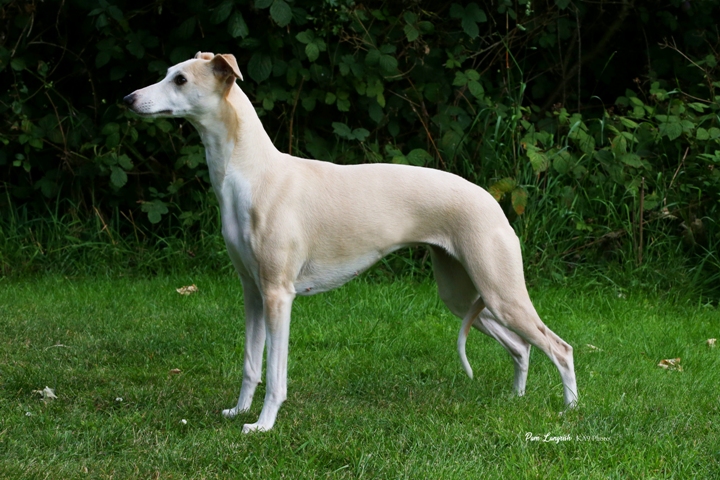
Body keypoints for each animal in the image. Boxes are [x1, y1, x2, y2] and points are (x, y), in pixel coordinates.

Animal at [124, 52, 577, 433]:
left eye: (180, 79)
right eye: (168, 73)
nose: (128, 98)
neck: (254, 173)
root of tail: (492, 201)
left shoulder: (278, 294)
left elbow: (275, 374)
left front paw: (263, 426)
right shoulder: (252, 291)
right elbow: (251, 365)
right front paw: (238, 411)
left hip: (500, 291)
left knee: (560, 347)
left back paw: (570, 412)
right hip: (463, 294)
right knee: (521, 347)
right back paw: (515, 399)